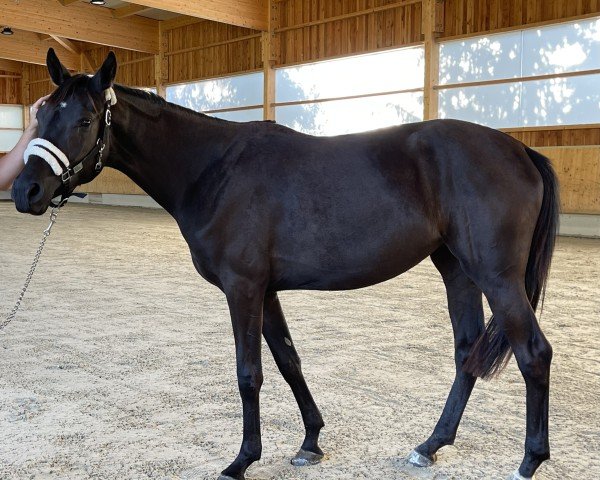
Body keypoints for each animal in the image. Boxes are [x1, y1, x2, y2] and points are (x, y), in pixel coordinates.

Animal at [10, 49, 556, 480]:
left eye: (84, 120)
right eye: (42, 116)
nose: (25, 191)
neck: (214, 169)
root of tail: (519, 150)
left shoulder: (243, 288)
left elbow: (249, 373)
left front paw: (241, 461)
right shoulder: (266, 290)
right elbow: (289, 360)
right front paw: (310, 442)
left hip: (497, 278)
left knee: (533, 353)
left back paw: (529, 461)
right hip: (456, 269)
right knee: (467, 354)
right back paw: (430, 446)